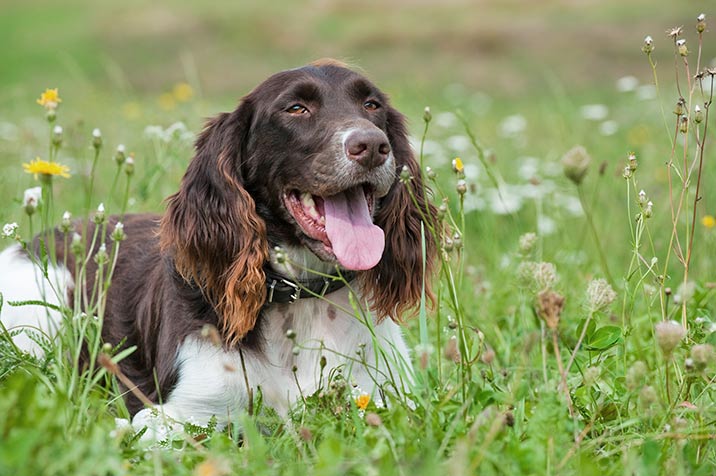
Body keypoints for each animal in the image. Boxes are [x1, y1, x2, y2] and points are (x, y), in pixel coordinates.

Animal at [0, 60, 436, 438]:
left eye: (372, 105)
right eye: (296, 108)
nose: (372, 145)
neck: (300, 302)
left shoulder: (386, 398)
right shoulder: (176, 415)